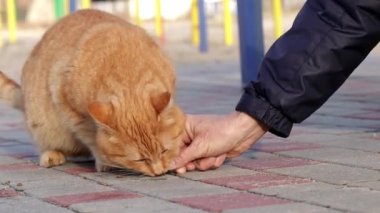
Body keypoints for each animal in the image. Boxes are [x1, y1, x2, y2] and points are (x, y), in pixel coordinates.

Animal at [0, 9, 185, 176]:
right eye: (140, 160)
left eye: (164, 151)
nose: (159, 172)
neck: (127, 71)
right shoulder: (70, 107)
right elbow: (92, 139)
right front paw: (104, 160)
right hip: (40, 123)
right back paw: (51, 155)